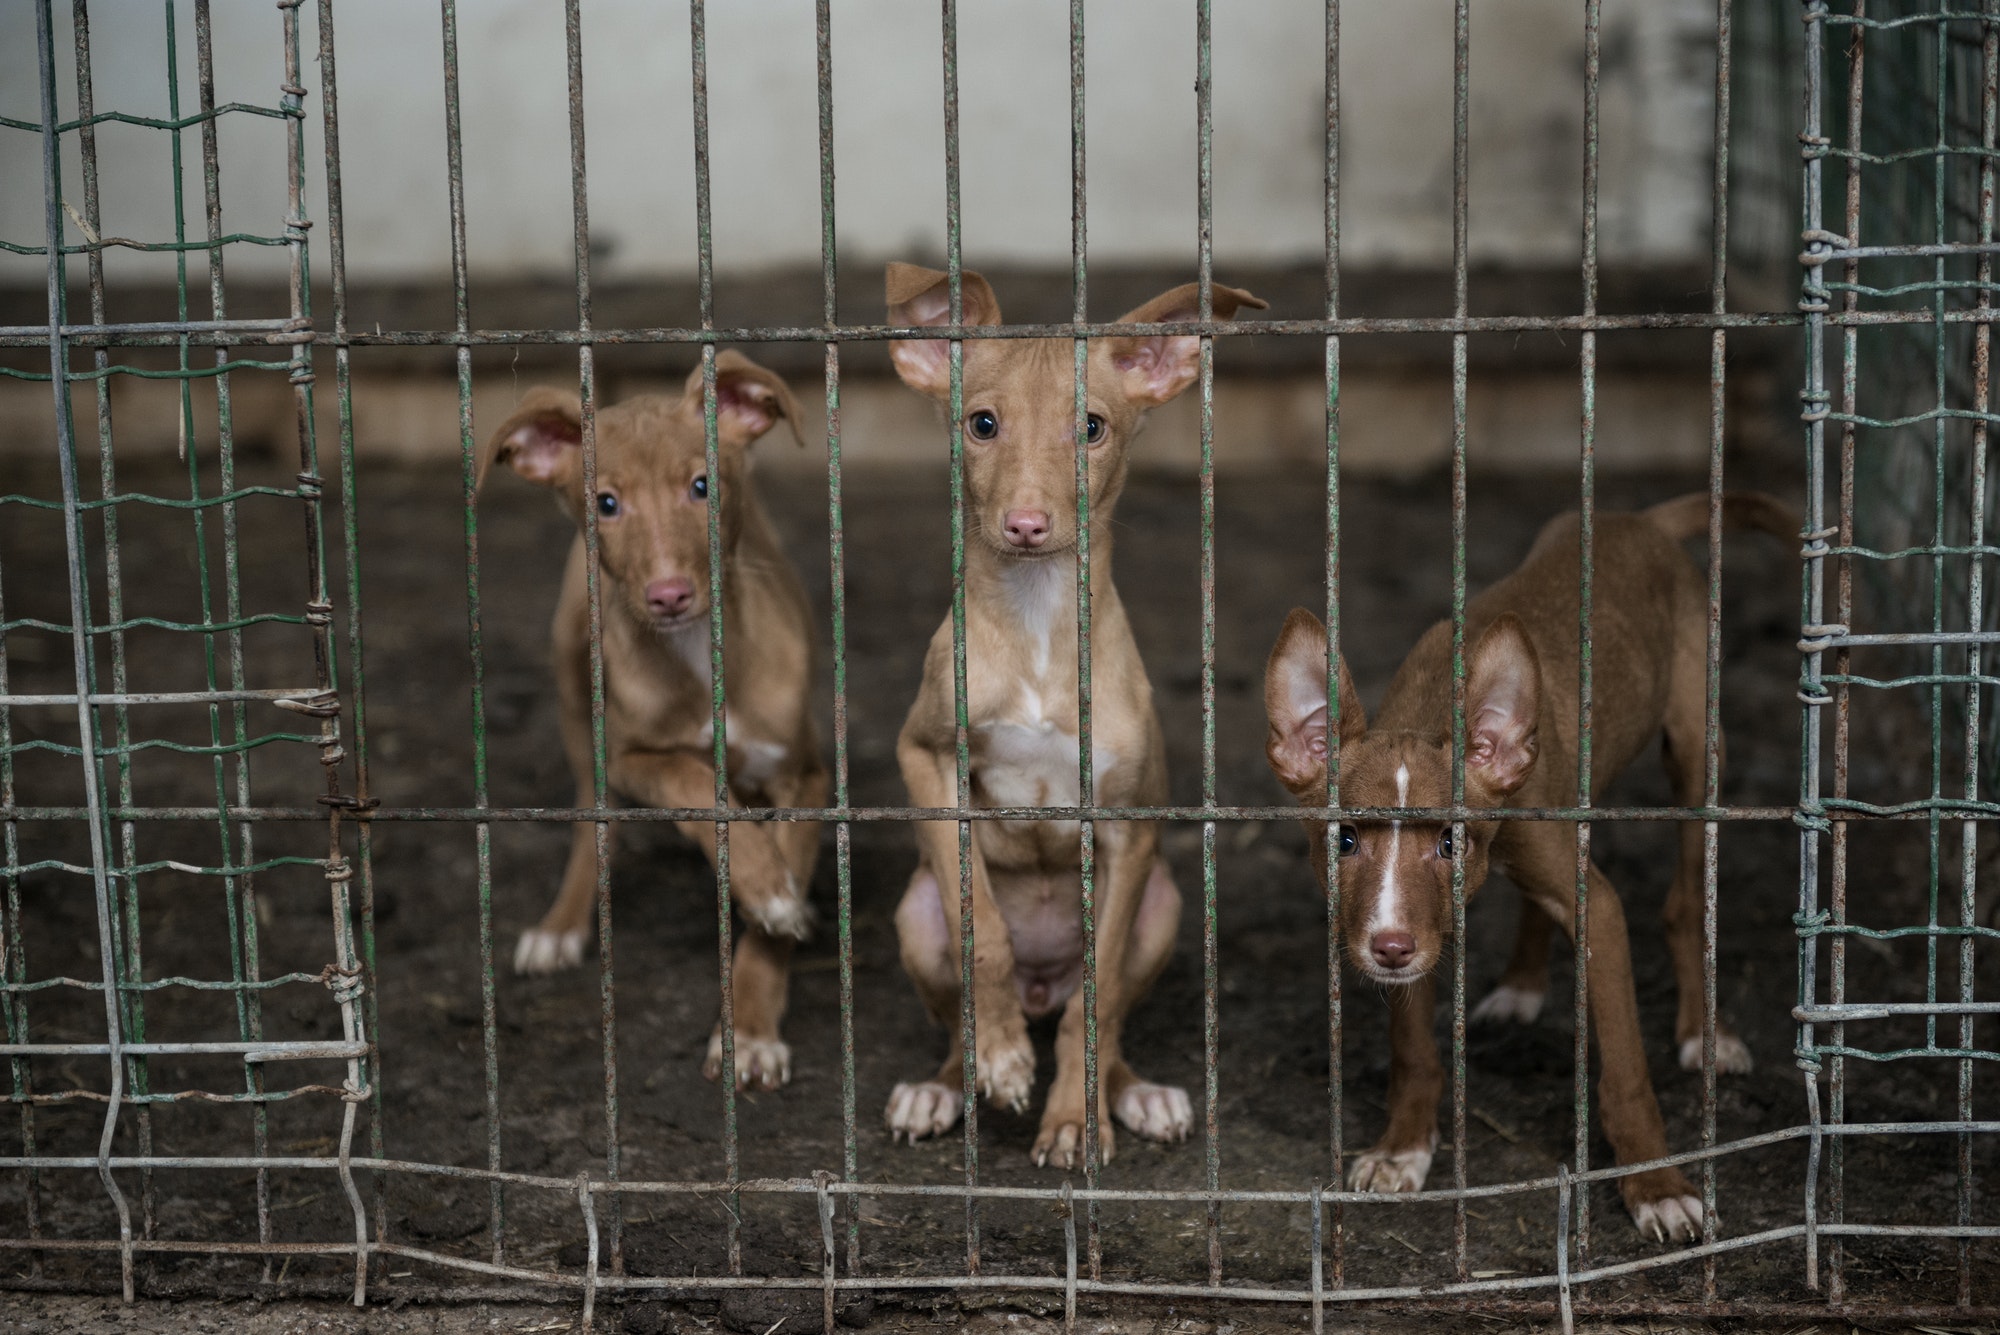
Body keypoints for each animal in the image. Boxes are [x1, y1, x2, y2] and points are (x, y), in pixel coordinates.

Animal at [484, 353, 828, 1095]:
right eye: (607, 504)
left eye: (701, 486)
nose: (668, 595)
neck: (699, 658)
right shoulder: (631, 755)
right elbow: (690, 784)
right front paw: (762, 884)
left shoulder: (804, 776)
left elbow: (771, 923)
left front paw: (750, 1029)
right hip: (573, 692)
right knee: (593, 821)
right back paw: (562, 925)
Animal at [880, 259, 1256, 1167]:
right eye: (982, 423)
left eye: (1091, 428)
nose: (1025, 524)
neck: (1039, 626)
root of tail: (1041, 986)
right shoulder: (926, 759)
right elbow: (983, 929)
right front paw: (1006, 1059)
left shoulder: (1122, 828)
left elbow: (1097, 1003)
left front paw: (1074, 1120)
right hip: (916, 913)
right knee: (960, 1011)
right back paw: (951, 1079)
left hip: (1160, 907)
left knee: (1103, 1012)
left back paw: (1132, 1092)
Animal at [1264, 489, 1800, 1239]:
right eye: (1343, 840)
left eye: (1451, 842)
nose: (1390, 948)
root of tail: (1641, 522)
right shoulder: (1421, 927)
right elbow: (1414, 1048)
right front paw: (1404, 1148)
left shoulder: (1598, 914)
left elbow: (1627, 1073)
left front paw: (1656, 1186)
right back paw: (1522, 984)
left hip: (1699, 755)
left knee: (1687, 902)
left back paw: (1704, 1032)